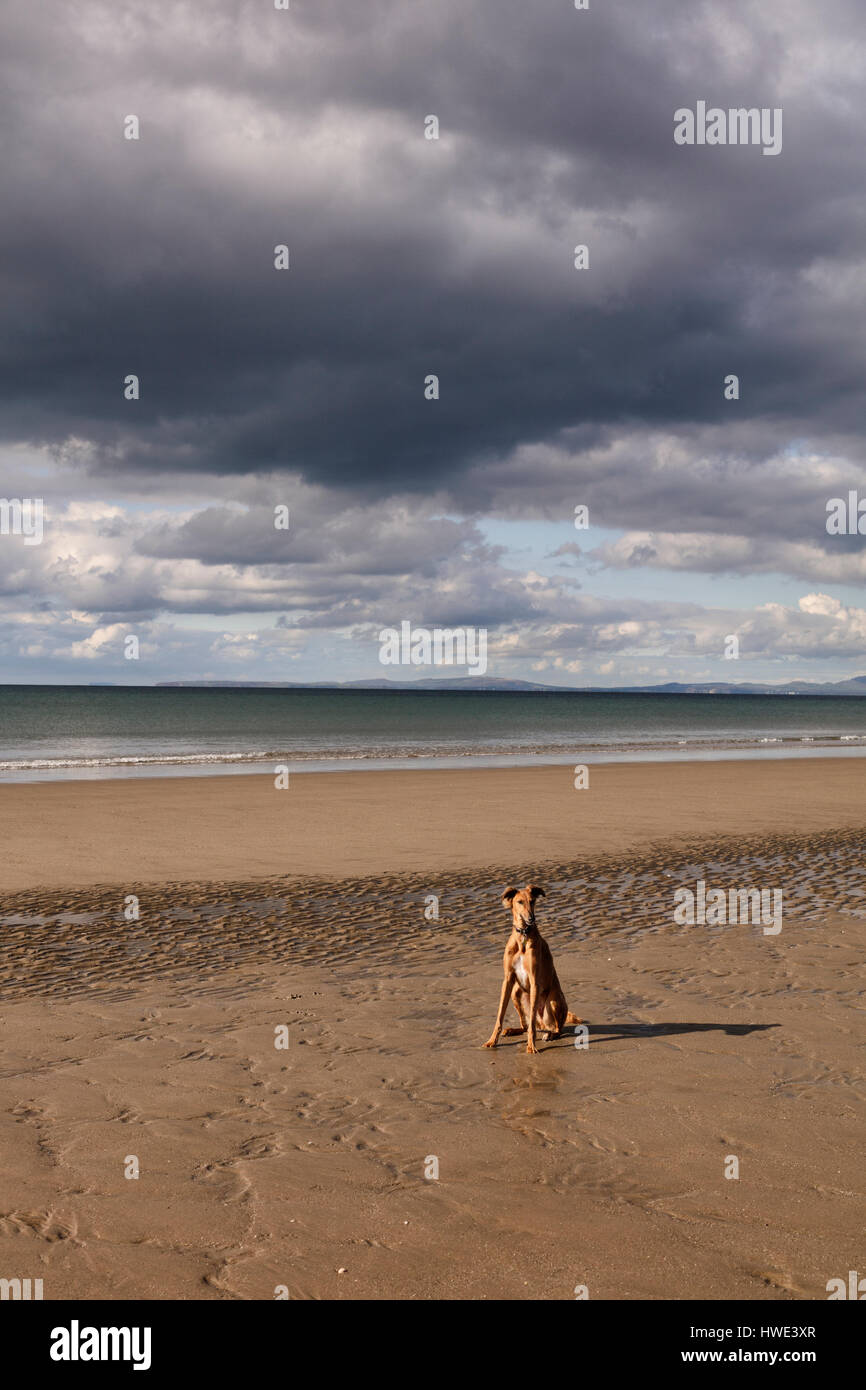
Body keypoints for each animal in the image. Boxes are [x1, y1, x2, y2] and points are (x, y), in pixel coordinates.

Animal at [480, 889, 583, 1050]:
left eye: (532, 901)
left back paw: (550, 1035)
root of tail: (543, 1024)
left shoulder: (534, 980)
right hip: (516, 994)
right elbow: (500, 1014)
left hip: (554, 1000)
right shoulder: (508, 980)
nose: (531, 918)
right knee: (526, 1025)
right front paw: (492, 1040)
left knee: (555, 1028)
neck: (523, 935)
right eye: (519, 902)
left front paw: (531, 1046)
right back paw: (512, 1030)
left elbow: (532, 1026)